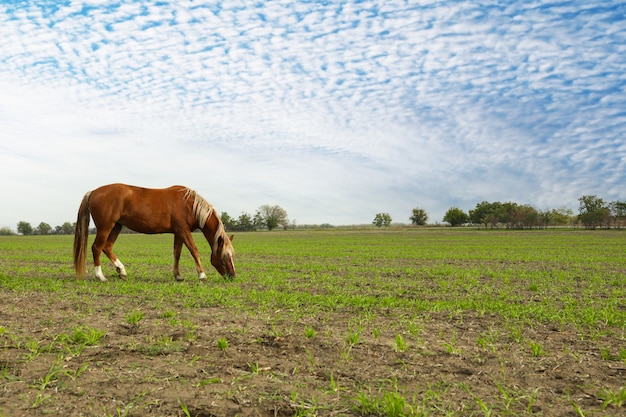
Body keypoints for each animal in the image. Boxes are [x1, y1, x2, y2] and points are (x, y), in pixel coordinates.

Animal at [73, 184, 234, 282]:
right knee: (97, 248)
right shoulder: (183, 230)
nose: (232, 275)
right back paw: (100, 276)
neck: (189, 204)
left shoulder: (178, 232)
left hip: (116, 226)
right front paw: (202, 275)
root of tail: (93, 192)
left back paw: (122, 271)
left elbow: (177, 253)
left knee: (107, 247)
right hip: (106, 227)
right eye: (225, 256)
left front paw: (178, 275)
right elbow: (194, 250)